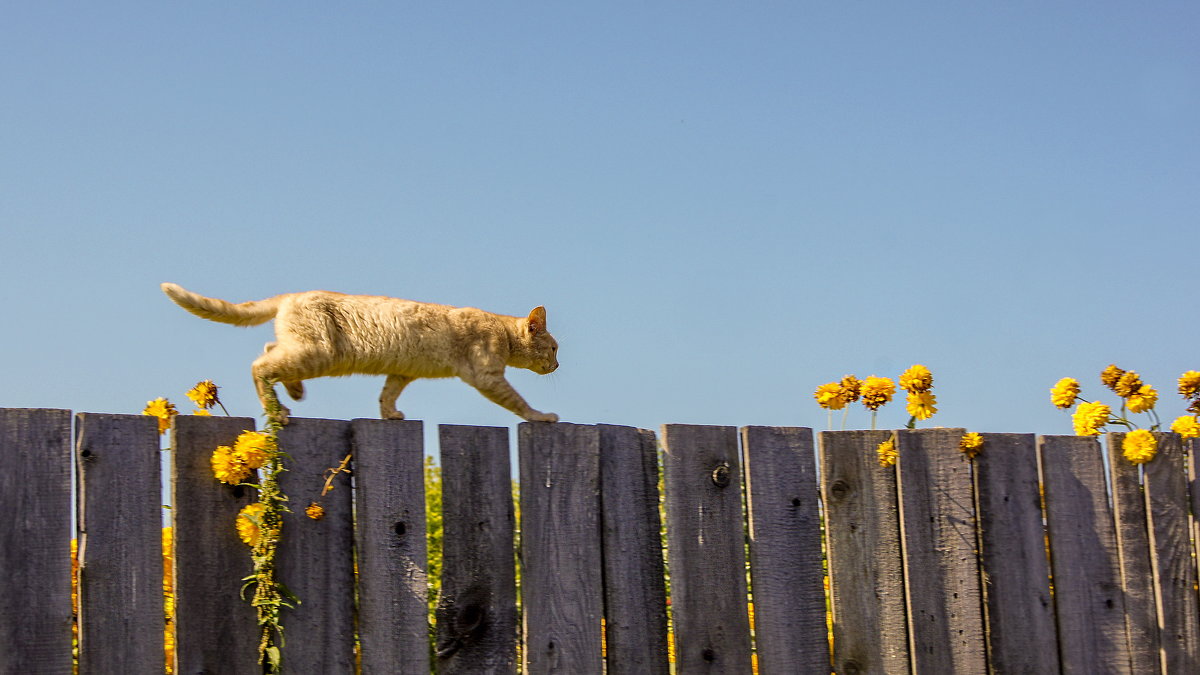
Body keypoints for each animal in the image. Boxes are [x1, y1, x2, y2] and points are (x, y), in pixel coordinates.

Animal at [158, 282, 561, 420]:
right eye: (555, 348)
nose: (558, 365)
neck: (501, 330)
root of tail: (292, 294)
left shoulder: (402, 372)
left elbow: (386, 395)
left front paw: (390, 414)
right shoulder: (487, 375)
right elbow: (519, 403)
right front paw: (541, 416)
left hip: (303, 349)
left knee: (269, 349)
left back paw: (295, 391)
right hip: (316, 352)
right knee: (260, 365)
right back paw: (277, 408)